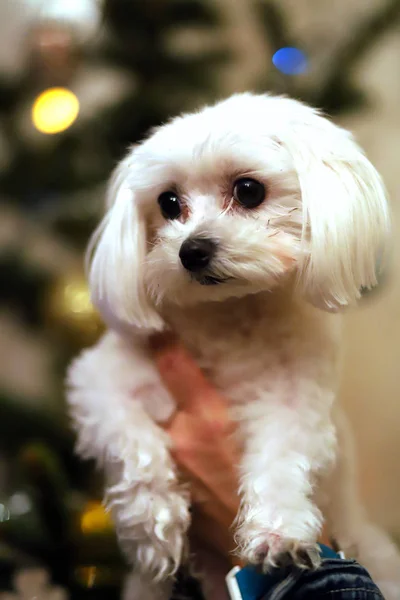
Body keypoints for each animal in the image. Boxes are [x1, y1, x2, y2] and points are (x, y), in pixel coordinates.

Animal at [67, 94, 400, 600]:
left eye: (248, 190)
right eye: (168, 202)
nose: (191, 251)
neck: (230, 316)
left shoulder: (296, 401)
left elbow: (282, 455)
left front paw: (278, 532)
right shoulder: (99, 384)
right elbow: (132, 446)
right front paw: (153, 525)